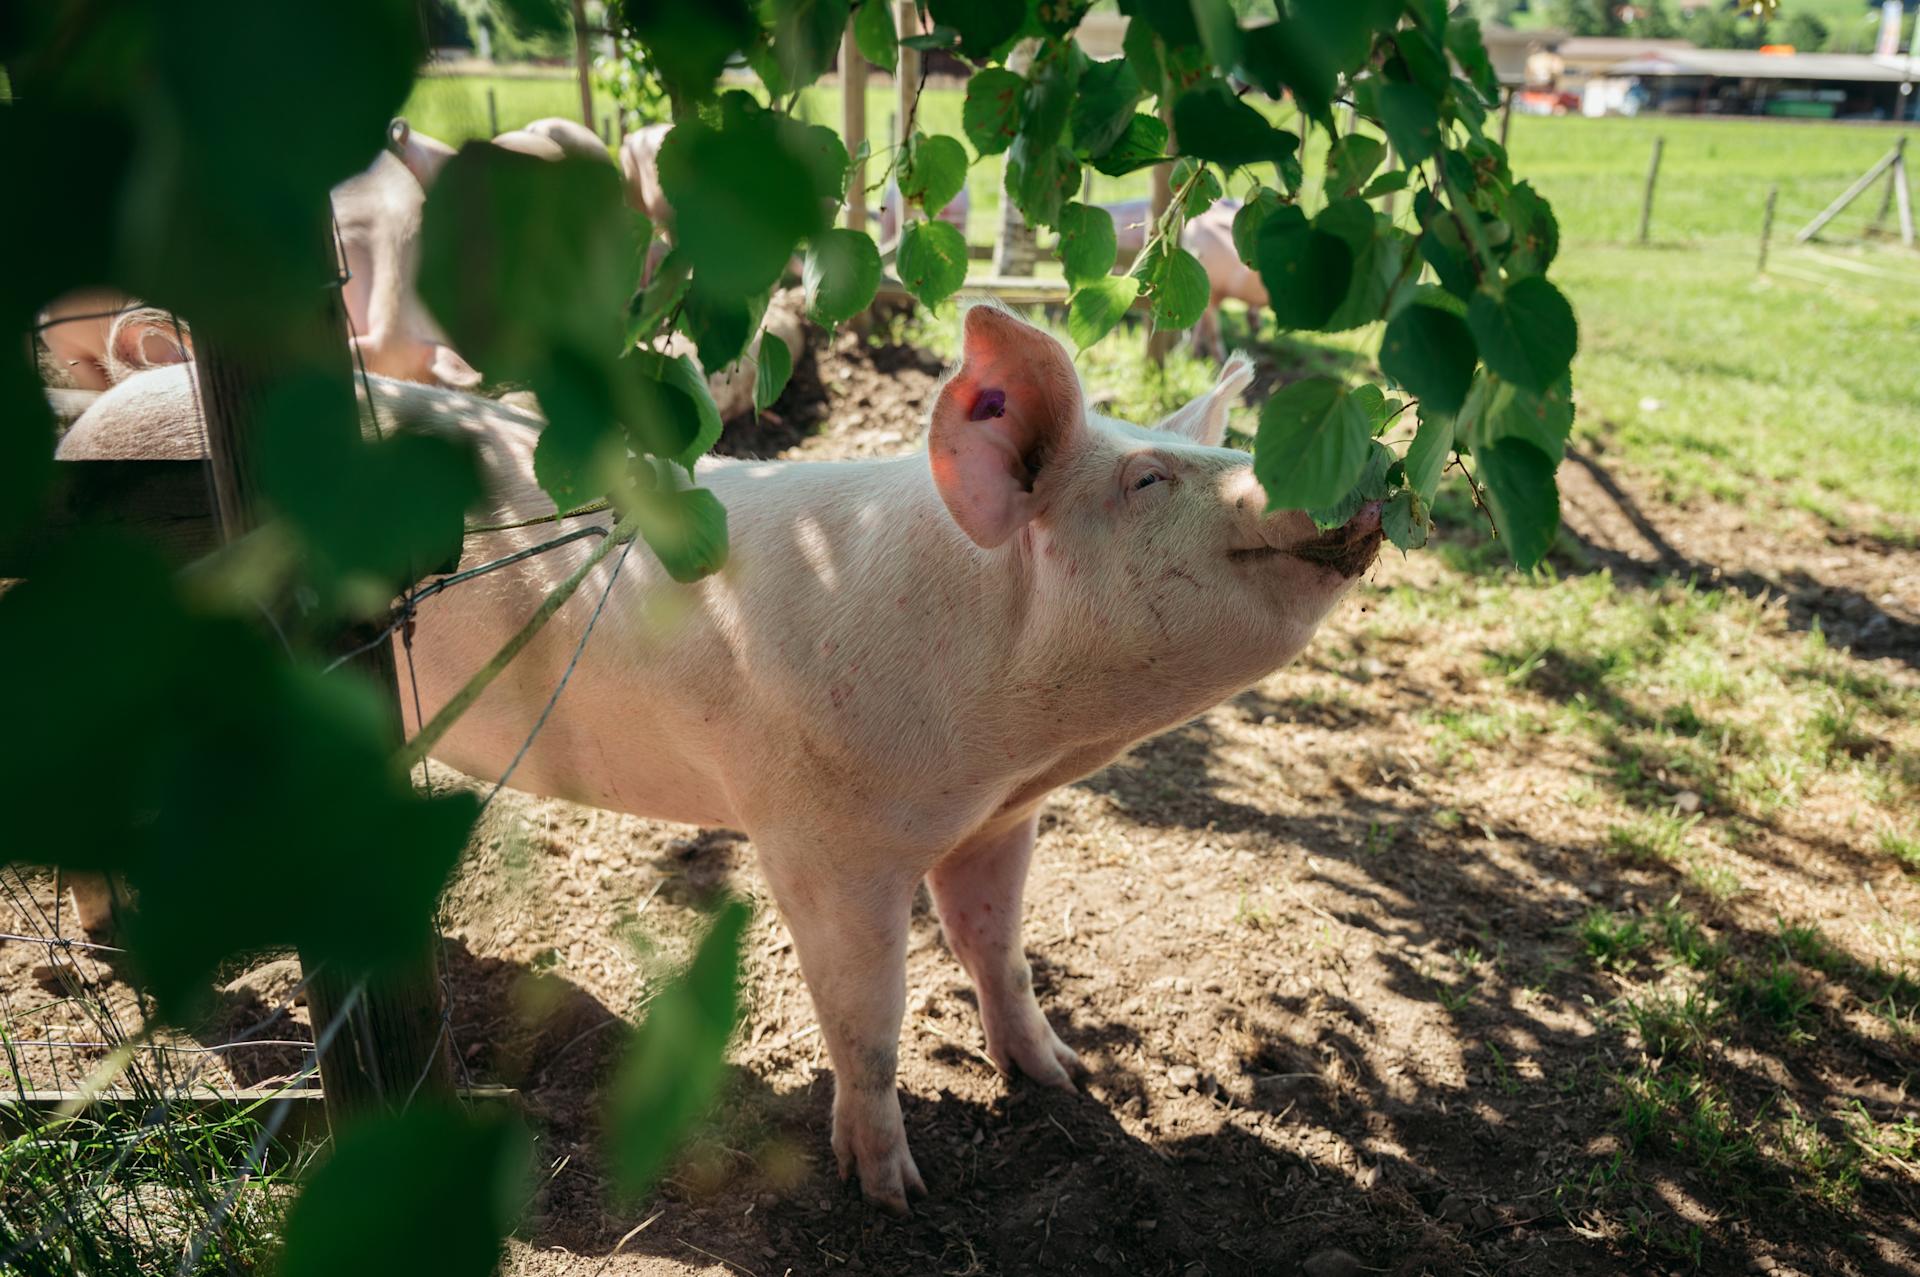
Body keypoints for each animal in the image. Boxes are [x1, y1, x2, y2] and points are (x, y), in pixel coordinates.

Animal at [56, 301, 1382, 1213]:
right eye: (1149, 477)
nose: (1359, 477)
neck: (1019, 736)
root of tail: (109, 409)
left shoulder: (999, 818)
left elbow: (996, 949)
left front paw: (1062, 1078)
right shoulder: (819, 836)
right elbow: (870, 1016)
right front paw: (894, 1193)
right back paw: (120, 949)